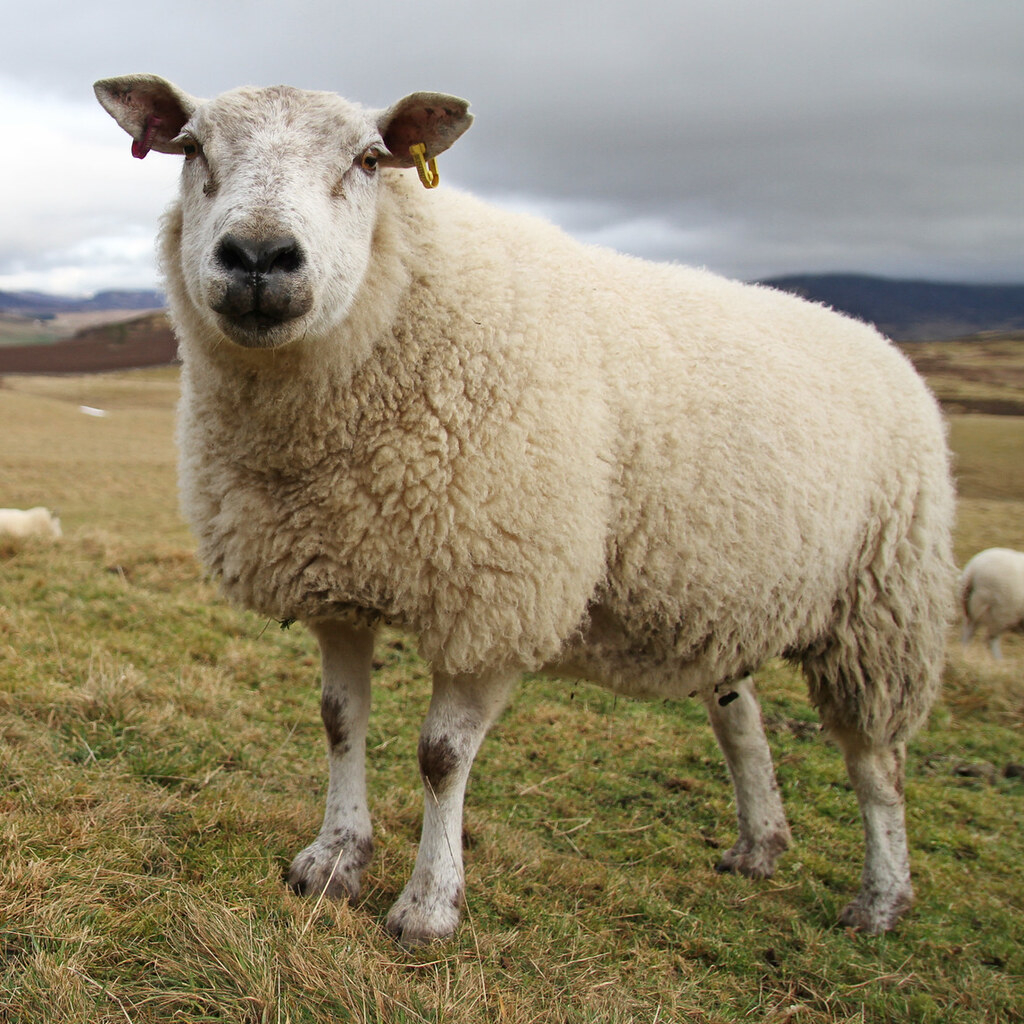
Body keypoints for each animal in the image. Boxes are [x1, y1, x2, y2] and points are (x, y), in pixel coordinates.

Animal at [94, 74, 956, 944]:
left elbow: (441, 757)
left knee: (877, 762)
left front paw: (429, 905)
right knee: (740, 720)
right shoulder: (335, 577)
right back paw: (759, 844)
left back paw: (882, 897)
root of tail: (883, 345)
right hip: (731, 599)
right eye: (191, 148)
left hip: (882, 607)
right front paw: (333, 858)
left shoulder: (497, 595)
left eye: (370, 159)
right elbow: (339, 720)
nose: (260, 256)